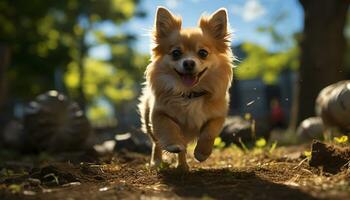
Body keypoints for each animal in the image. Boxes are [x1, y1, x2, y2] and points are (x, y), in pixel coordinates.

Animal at [138, 6, 234, 170]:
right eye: (176, 53)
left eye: (203, 53)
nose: (188, 63)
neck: (190, 94)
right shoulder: (158, 114)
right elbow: (168, 128)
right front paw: (173, 144)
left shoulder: (217, 116)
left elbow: (209, 132)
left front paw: (202, 153)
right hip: (148, 120)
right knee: (157, 143)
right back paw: (157, 162)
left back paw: (182, 166)